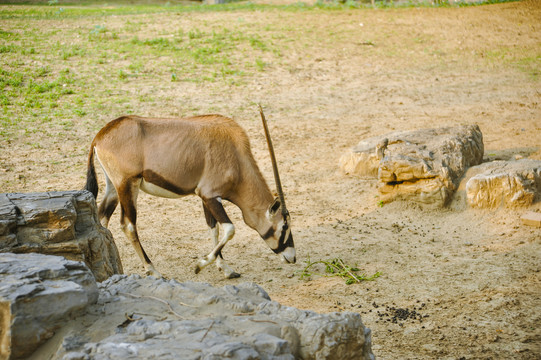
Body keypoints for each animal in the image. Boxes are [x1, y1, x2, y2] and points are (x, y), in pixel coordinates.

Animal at [85, 106, 296, 278]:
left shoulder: (206, 197)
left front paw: (225, 269)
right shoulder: (210, 195)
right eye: (284, 226)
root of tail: (100, 136)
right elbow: (230, 229)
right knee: (128, 225)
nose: (292, 258)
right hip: (128, 185)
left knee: (102, 219)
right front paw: (200, 265)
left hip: (114, 188)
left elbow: (214, 228)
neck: (236, 158)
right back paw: (153, 270)